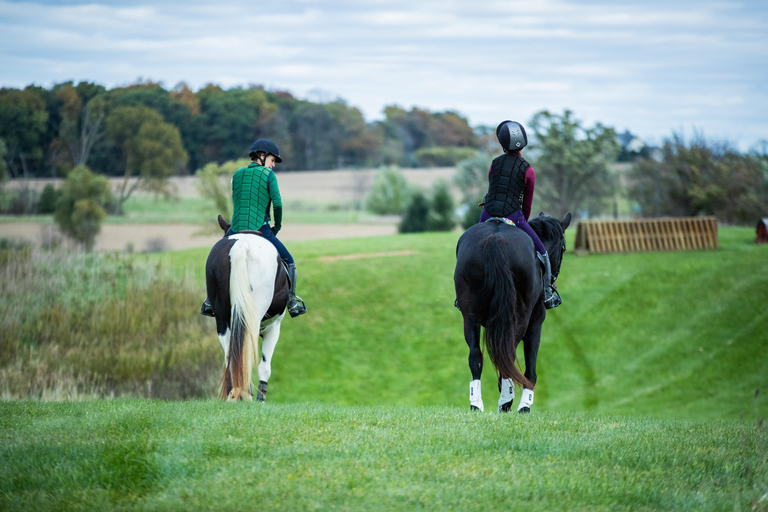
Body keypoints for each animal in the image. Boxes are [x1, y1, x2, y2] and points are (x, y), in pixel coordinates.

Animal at [205, 215, 289, 401]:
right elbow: (265, 366)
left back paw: (234, 393)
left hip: (222, 320)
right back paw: (244, 394)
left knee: (230, 355)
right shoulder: (274, 328)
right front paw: (260, 399)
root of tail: (240, 244)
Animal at [454, 213, 571, 413]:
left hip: (470, 317)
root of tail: (496, 239)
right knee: (508, 355)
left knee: (476, 356)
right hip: (520, 319)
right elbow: (530, 368)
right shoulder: (535, 324)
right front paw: (524, 405)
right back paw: (507, 402)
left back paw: (477, 404)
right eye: (563, 247)